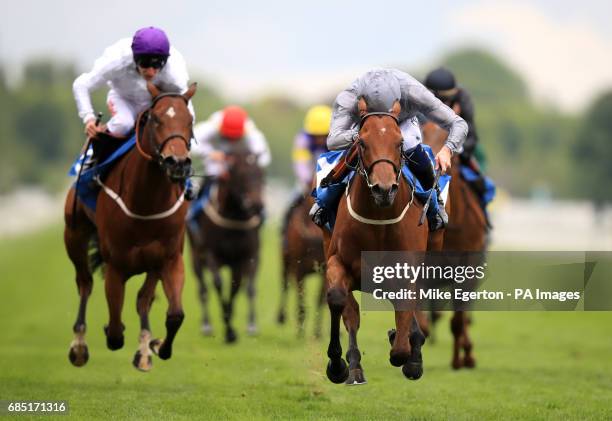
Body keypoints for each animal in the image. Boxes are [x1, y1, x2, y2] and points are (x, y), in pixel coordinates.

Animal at [62, 80, 196, 370]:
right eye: (156, 119)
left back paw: (145, 349)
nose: (177, 163)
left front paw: (157, 345)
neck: (146, 202)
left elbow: (175, 314)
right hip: (74, 235)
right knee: (84, 283)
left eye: (189, 120)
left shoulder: (169, 258)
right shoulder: (115, 265)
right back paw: (79, 345)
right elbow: (114, 331)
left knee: (143, 299)